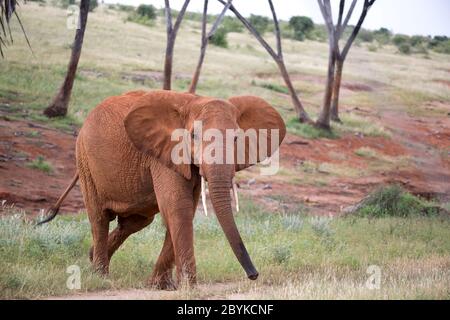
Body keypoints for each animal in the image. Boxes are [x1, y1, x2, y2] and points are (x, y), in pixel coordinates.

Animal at [43, 89, 288, 288]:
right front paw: (189, 287)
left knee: (135, 222)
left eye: (237, 138)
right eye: (194, 135)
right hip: (84, 159)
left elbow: (184, 209)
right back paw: (100, 276)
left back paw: (92, 255)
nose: (254, 275)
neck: (194, 102)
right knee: (99, 218)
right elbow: (177, 206)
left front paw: (160, 286)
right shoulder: (165, 151)